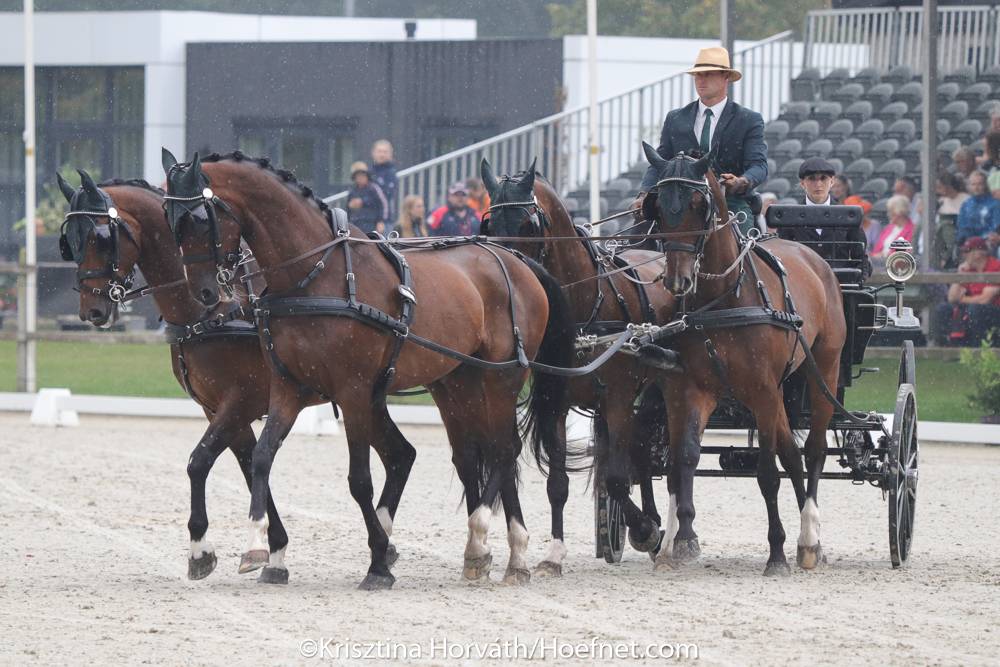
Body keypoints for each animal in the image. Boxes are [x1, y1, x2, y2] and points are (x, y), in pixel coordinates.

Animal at [57, 170, 409, 585]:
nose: (91, 310)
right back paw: (385, 545)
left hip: (358, 392)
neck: (212, 311)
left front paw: (202, 550)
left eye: (98, 237)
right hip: (367, 395)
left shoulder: (240, 402)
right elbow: (248, 464)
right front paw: (274, 551)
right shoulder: (219, 409)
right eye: (70, 241)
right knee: (401, 454)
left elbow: (200, 462)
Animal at [161, 149, 575, 589]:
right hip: (459, 382)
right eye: (170, 219)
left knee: (503, 450)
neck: (316, 274)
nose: (205, 292)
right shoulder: (287, 386)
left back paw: (484, 539)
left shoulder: (353, 391)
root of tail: (517, 261)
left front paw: (378, 562)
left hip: (501, 378)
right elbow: (261, 457)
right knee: (479, 453)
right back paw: (504, 554)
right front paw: (259, 545)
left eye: (200, 218)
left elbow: (359, 480)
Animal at [479, 158, 676, 573]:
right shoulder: (557, 401)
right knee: (642, 454)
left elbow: (615, 479)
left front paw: (646, 531)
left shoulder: (618, 397)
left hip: (656, 391)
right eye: (489, 224)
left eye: (528, 225)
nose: (508, 275)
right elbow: (558, 484)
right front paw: (554, 554)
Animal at [640, 142, 846, 575]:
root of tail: (814, 259)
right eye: (658, 207)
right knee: (793, 455)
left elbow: (766, 473)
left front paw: (776, 553)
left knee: (814, 450)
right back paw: (810, 541)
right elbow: (683, 459)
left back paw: (808, 538)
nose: (679, 281)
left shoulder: (762, 391)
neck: (723, 297)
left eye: (699, 205)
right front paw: (681, 540)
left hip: (825, 370)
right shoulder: (691, 388)